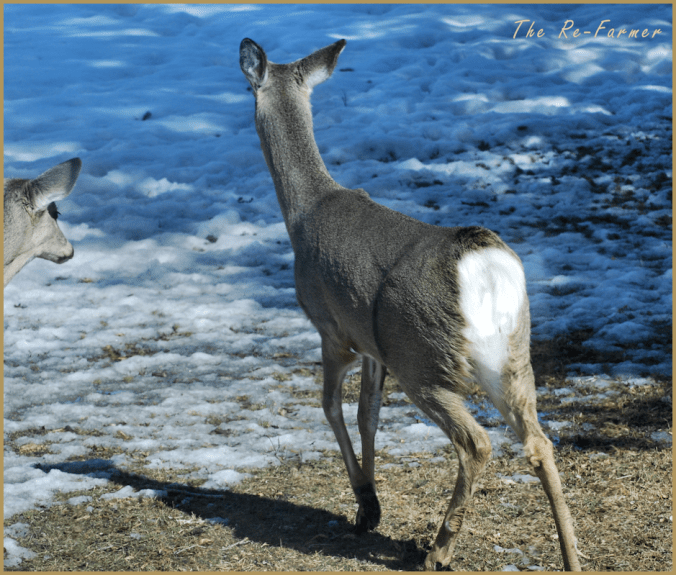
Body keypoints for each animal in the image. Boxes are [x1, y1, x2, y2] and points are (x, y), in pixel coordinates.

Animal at [239, 38, 581, 571]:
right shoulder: (373, 346)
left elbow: (331, 407)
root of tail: (485, 269)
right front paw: (369, 502)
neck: (304, 213)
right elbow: (369, 412)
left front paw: (366, 504)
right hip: (510, 354)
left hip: (422, 356)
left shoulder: (333, 330)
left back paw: (437, 551)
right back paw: (571, 556)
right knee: (539, 442)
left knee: (477, 442)